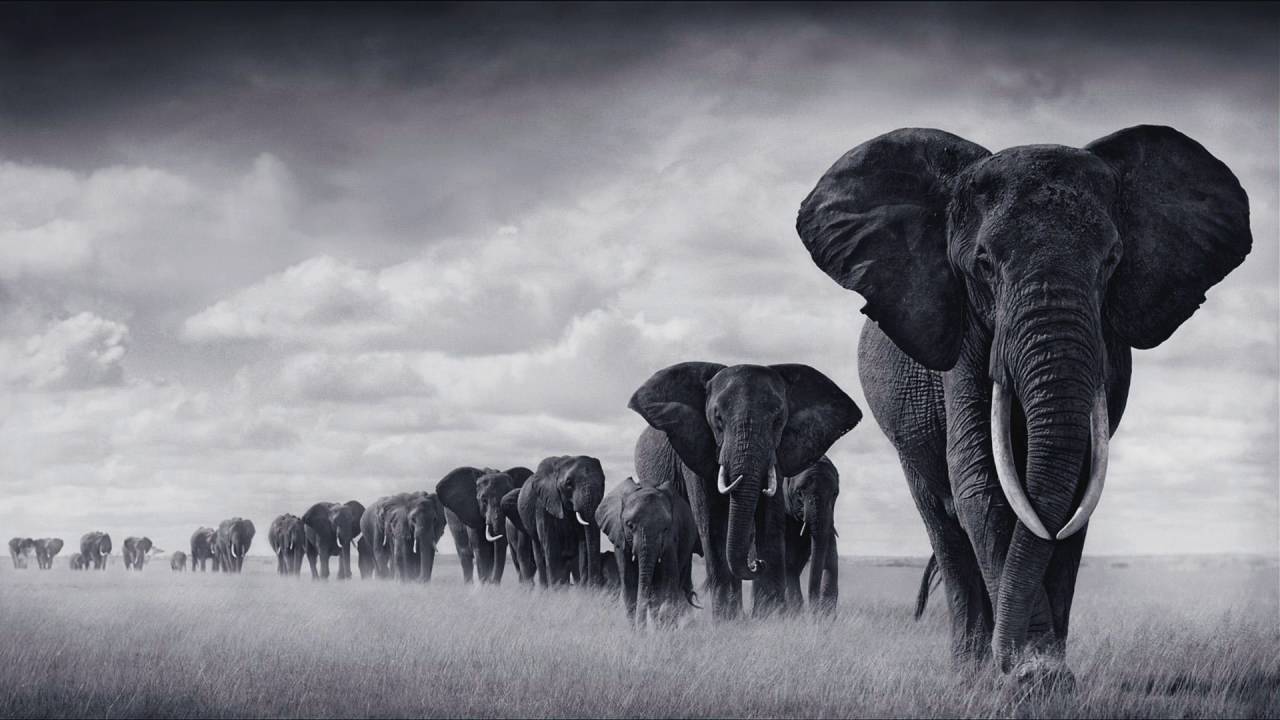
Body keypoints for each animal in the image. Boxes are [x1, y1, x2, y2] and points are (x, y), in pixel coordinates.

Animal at [516, 456, 607, 589]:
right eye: (568, 483)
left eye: (603, 483)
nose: (594, 586)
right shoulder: (544, 505)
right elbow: (551, 546)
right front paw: (557, 591)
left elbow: (583, 545)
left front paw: (582, 591)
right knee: (540, 555)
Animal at [596, 477, 702, 628]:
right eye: (629, 525)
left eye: (665, 528)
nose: (642, 630)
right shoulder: (620, 537)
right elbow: (629, 584)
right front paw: (636, 631)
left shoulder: (671, 540)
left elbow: (667, 582)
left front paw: (664, 628)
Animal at [782, 456, 841, 616]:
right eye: (799, 493)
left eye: (835, 493)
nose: (813, 611)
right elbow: (788, 563)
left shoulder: (829, 519)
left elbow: (831, 561)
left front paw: (824, 617)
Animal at [796, 125, 1251, 680]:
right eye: (984, 263)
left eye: (1112, 261)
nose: (1017, 663)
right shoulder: (965, 332)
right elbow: (982, 482)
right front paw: (1031, 677)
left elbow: (1076, 490)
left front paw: (1043, 673)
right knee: (944, 525)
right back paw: (969, 670)